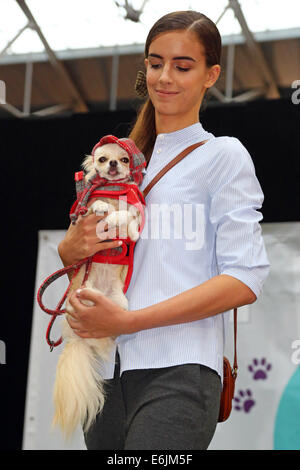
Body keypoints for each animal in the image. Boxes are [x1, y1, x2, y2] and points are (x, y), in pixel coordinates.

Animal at [53, 136, 146, 436]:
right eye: (103, 159)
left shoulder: (135, 208)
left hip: (119, 304)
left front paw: (124, 226)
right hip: (82, 294)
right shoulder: (87, 209)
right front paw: (104, 210)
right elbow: (99, 206)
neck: (115, 190)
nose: (114, 164)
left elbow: (130, 217)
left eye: (125, 159)